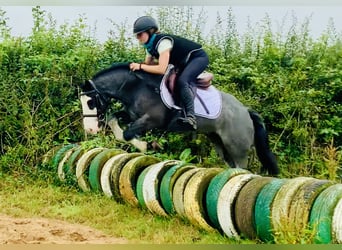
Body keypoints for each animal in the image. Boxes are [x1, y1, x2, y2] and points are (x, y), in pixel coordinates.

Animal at [81, 62, 280, 176]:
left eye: (90, 102)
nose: (90, 130)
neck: (136, 87)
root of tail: (245, 111)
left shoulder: (152, 120)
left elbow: (128, 133)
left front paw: (148, 146)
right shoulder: (131, 114)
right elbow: (114, 121)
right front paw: (148, 145)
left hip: (237, 147)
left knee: (243, 168)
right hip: (220, 144)